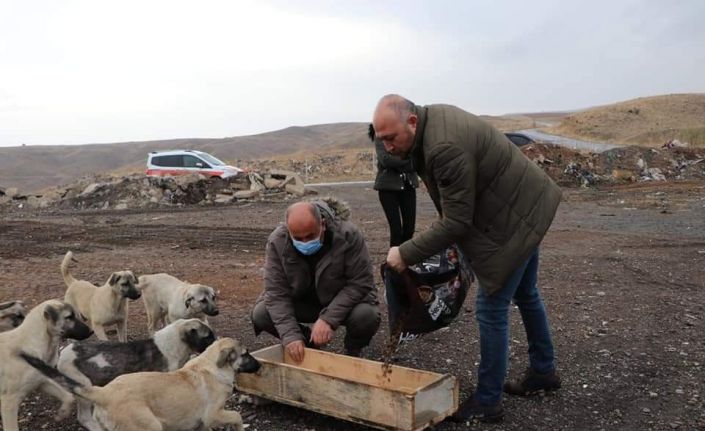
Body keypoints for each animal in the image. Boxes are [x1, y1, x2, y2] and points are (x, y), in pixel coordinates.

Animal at [0, 299, 92, 431]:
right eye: (69, 317)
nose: (91, 331)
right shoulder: (9, 402)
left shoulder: (41, 381)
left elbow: (68, 396)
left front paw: (62, 413)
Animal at [22, 337, 261, 431]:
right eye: (246, 354)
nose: (260, 365)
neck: (212, 364)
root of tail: (103, 392)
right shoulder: (213, 414)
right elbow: (237, 416)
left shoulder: (202, 423)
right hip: (149, 426)